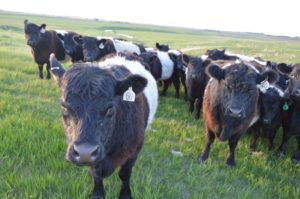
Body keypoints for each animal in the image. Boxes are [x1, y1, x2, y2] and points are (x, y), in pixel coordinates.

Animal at [48, 52, 159, 199]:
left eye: (110, 109)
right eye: (64, 107)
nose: (84, 152)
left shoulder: (135, 149)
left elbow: (125, 174)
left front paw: (125, 194)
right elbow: (97, 174)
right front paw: (98, 193)